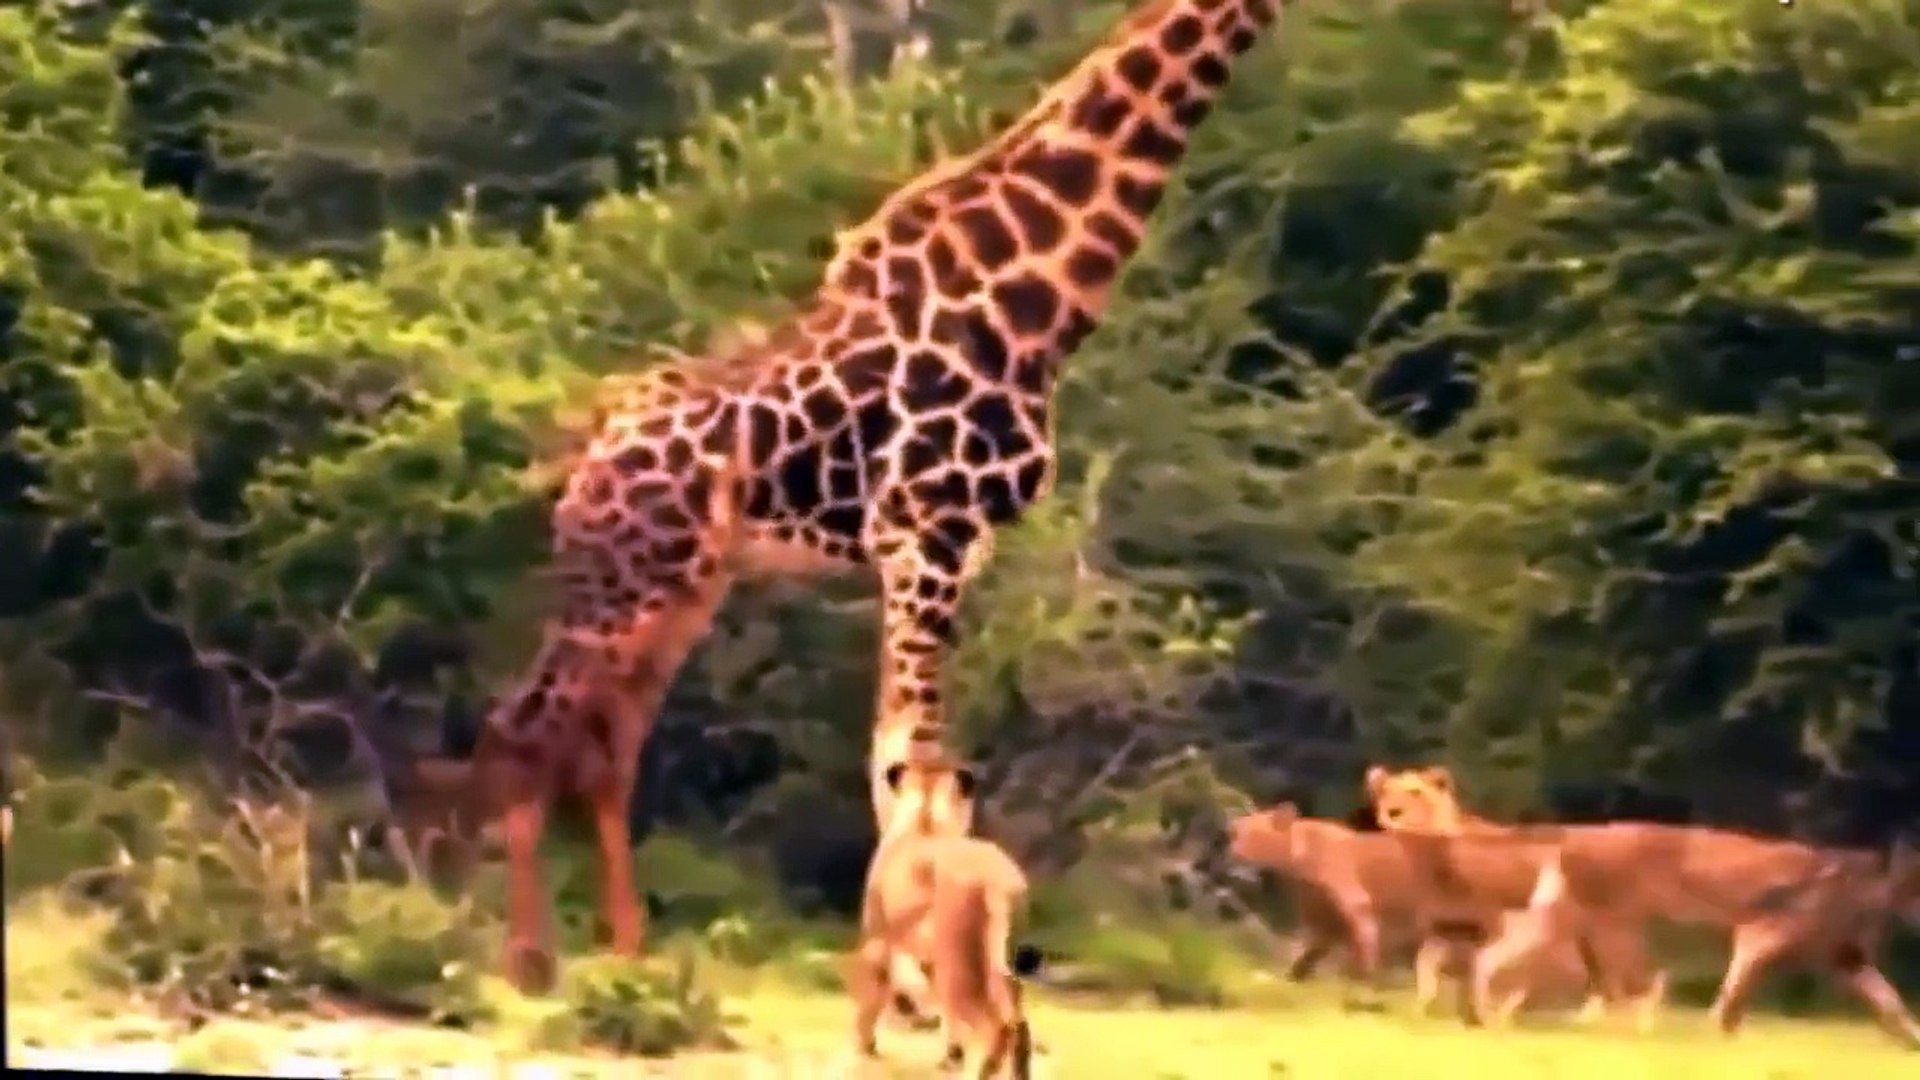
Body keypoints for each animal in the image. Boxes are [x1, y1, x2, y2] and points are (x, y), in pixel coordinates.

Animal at [464, 0, 1286, 992]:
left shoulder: (951, 547)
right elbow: (908, 754)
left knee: (604, 750)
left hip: (682, 590)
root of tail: (587, 459)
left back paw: (628, 954)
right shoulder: (925, 534)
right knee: (524, 727)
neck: (1034, 299)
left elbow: (903, 752)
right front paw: (914, 964)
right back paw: (528, 962)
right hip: (624, 586)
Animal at [851, 756, 1042, 1078]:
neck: (926, 814)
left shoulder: (879, 938)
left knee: (997, 1026)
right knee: (1018, 1021)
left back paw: (981, 1072)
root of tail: (998, 880)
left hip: (962, 964)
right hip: (995, 963)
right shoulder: (929, 960)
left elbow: (873, 994)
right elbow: (945, 1014)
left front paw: (865, 1047)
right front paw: (951, 1056)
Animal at [1364, 765, 1668, 1028]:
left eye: (1415, 792)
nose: (1392, 812)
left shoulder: (1504, 926)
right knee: (1601, 977)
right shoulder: (1445, 929)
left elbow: (1485, 970)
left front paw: (1484, 1015)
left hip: (1605, 934)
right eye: (1386, 790)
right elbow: (1426, 967)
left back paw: (1642, 1023)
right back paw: (1583, 1019)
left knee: (1646, 975)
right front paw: (1420, 1011)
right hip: (1586, 938)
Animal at [1474, 820, 1920, 1048]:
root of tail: (1575, 834)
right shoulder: (1757, 936)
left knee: (1492, 956)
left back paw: (1492, 1016)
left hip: (1563, 921)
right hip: (1616, 928)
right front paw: (1721, 1035)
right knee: (1628, 988)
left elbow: (1892, 1002)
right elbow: (1734, 994)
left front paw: (1910, 1040)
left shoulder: (1845, 958)